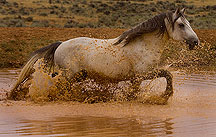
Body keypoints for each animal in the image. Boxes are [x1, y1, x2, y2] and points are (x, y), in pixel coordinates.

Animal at [9, 7, 199, 101]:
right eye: (181, 24)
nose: (195, 42)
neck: (142, 45)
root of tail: (61, 44)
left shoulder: (137, 78)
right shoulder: (142, 74)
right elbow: (168, 74)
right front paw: (165, 96)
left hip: (77, 75)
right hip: (68, 75)